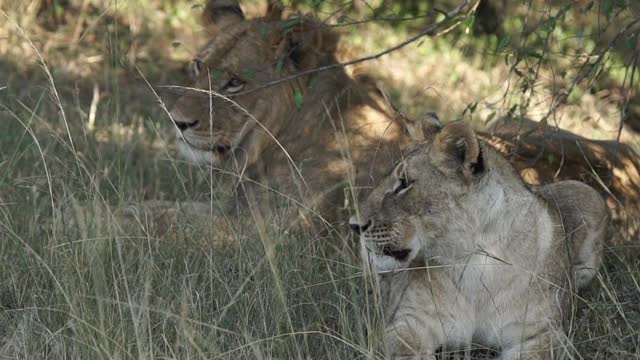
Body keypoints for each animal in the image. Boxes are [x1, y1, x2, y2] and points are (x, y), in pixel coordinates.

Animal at [348, 117, 608, 358]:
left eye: (404, 183)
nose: (354, 225)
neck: (476, 259)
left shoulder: (544, 333)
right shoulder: (409, 323)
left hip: (588, 193)